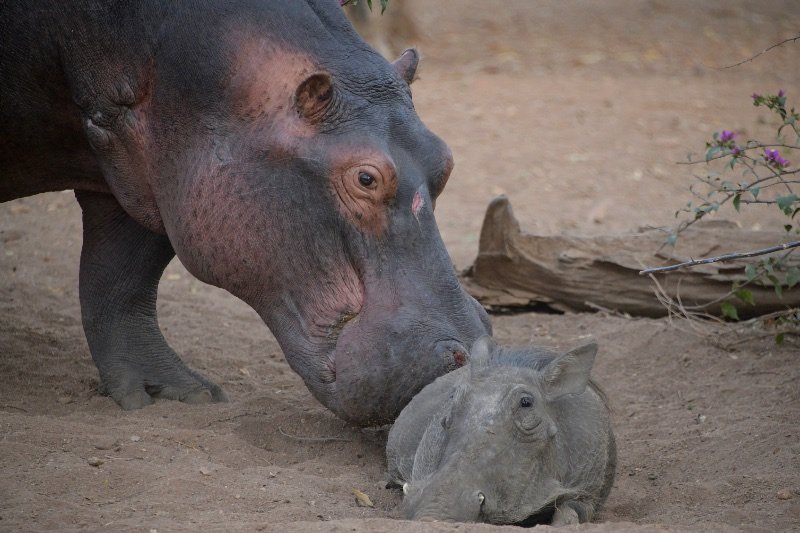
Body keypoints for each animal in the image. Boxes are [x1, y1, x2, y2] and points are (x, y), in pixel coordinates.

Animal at [0, 0, 490, 425]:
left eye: (445, 160)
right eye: (366, 178)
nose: (470, 356)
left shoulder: (152, 173)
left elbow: (122, 278)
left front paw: (179, 394)